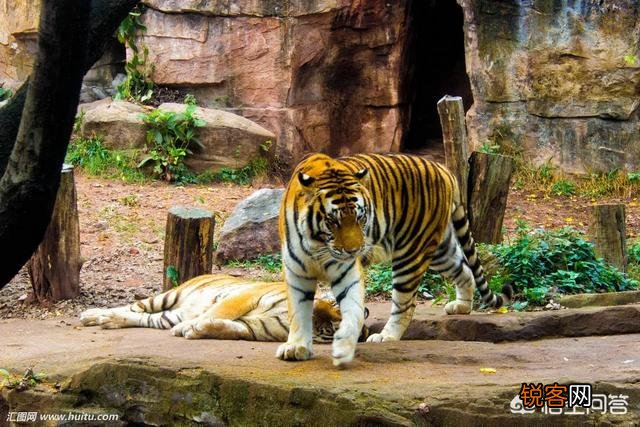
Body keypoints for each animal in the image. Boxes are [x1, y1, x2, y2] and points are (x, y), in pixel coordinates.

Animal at [276, 153, 512, 367]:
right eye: (333, 221)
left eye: (360, 218)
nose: (355, 250)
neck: (317, 245)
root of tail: (443, 169)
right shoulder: (297, 273)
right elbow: (298, 313)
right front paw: (296, 347)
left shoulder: (346, 271)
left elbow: (352, 310)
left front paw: (344, 346)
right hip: (440, 250)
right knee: (464, 271)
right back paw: (461, 307)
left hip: (412, 251)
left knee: (406, 304)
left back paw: (385, 336)